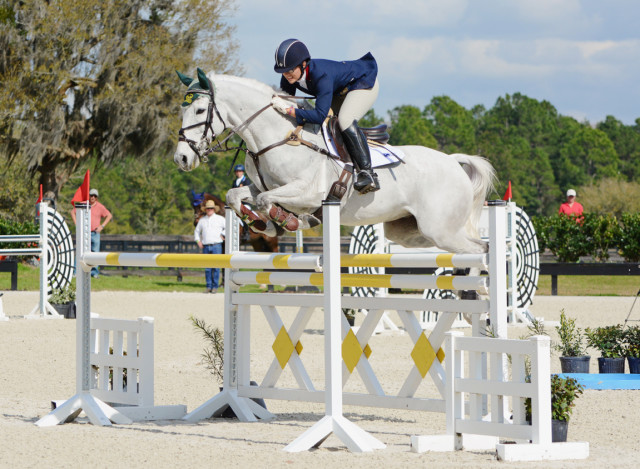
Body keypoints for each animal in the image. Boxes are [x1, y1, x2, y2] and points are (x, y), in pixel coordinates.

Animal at [176, 68, 500, 252]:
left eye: (199, 110)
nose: (181, 158)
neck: (279, 136)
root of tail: (452, 162)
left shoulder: (307, 193)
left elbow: (268, 201)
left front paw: (288, 221)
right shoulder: (259, 187)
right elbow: (237, 196)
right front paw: (263, 225)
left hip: (441, 230)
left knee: (479, 251)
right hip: (412, 232)